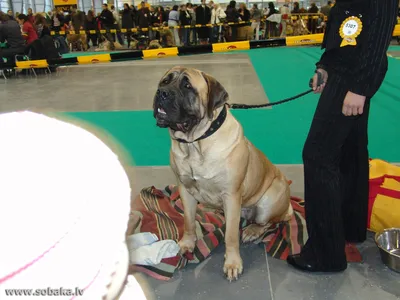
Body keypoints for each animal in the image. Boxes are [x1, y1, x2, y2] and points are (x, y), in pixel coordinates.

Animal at [152, 66, 292, 282]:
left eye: (187, 86)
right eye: (164, 81)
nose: (162, 93)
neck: (196, 143)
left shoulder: (231, 196)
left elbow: (231, 236)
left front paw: (233, 263)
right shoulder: (185, 190)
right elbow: (189, 222)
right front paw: (187, 244)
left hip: (270, 200)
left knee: (270, 223)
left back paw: (252, 230)